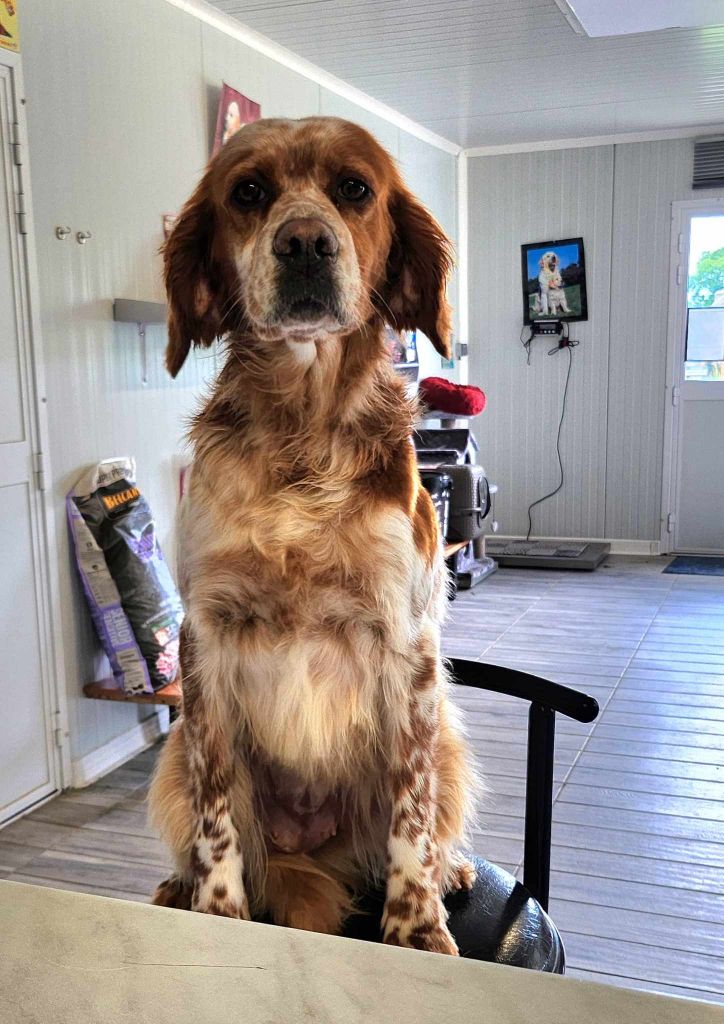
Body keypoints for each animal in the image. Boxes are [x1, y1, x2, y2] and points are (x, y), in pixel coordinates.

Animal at [150, 116, 479, 954]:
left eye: (354, 188)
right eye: (248, 192)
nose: (303, 242)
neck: (302, 431)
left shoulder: (407, 645)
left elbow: (410, 817)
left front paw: (415, 926)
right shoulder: (207, 640)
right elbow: (219, 813)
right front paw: (219, 908)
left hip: (448, 737)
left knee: (430, 823)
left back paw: (454, 871)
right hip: (170, 757)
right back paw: (178, 884)